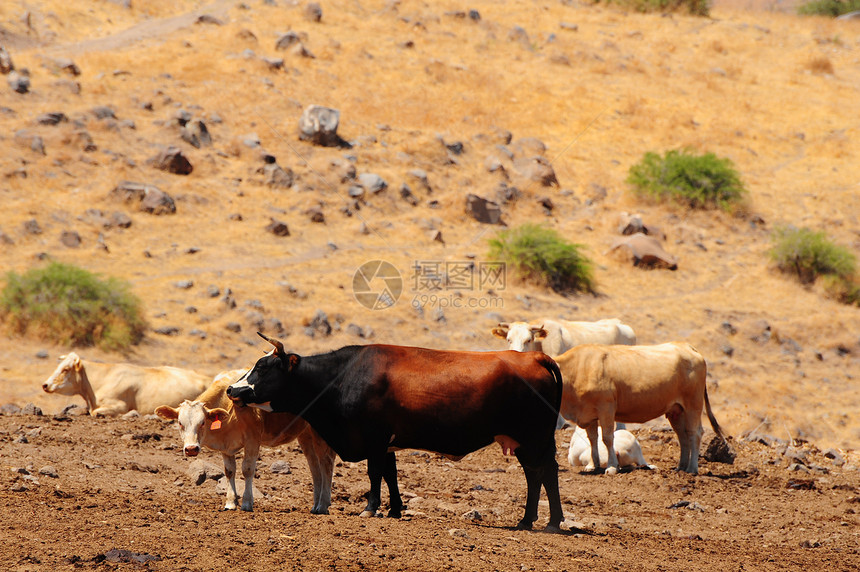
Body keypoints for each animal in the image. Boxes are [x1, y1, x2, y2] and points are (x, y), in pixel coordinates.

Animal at [158, 370, 336, 512]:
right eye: (180, 423)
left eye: (202, 422)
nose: (191, 449)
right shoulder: (226, 447)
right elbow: (229, 471)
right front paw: (230, 503)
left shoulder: (252, 440)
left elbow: (247, 469)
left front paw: (246, 503)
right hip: (305, 435)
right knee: (314, 465)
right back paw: (315, 505)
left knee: (326, 462)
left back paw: (323, 505)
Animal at [225, 332, 568, 536]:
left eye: (263, 367)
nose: (232, 389)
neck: (342, 377)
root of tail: (533, 357)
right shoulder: (387, 443)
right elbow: (390, 474)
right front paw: (393, 509)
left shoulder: (374, 438)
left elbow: (375, 474)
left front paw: (371, 508)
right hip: (524, 441)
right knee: (534, 475)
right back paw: (527, 520)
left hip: (534, 438)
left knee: (547, 472)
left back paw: (551, 522)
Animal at [556, 344, 728, 474]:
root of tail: (687, 347)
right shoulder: (588, 413)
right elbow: (593, 439)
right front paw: (593, 465)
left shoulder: (606, 407)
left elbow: (607, 438)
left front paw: (611, 466)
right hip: (676, 410)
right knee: (682, 436)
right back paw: (680, 467)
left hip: (693, 404)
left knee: (694, 433)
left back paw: (692, 469)